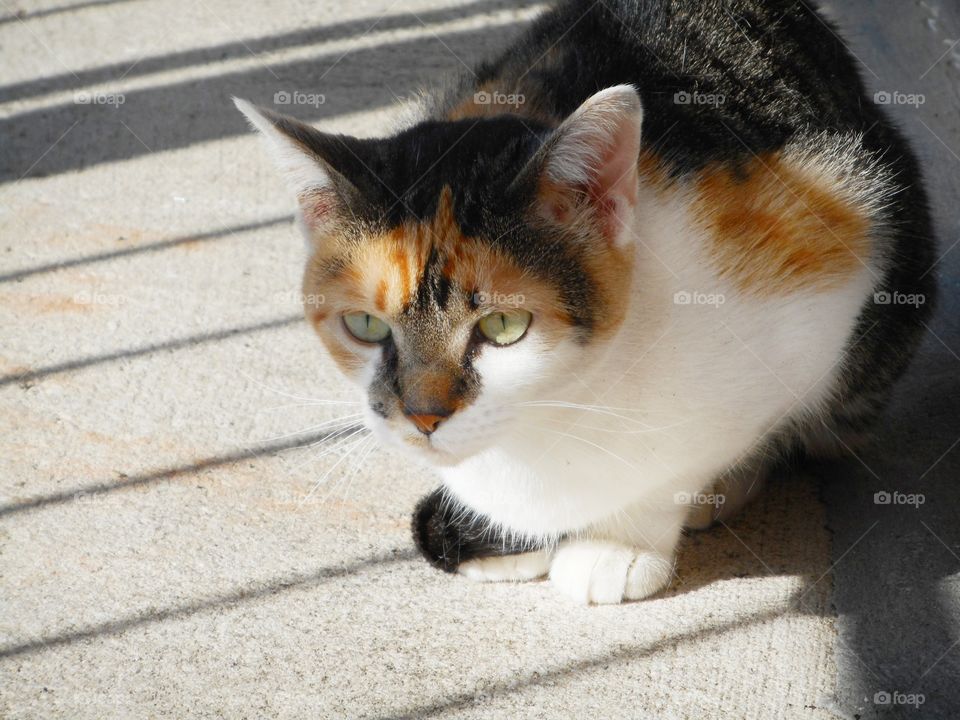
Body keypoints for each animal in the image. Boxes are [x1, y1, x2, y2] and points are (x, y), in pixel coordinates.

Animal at [236, 0, 932, 600]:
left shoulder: (825, 271)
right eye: (365, 325)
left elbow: (692, 456)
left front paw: (620, 543)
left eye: (504, 324)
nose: (423, 418)